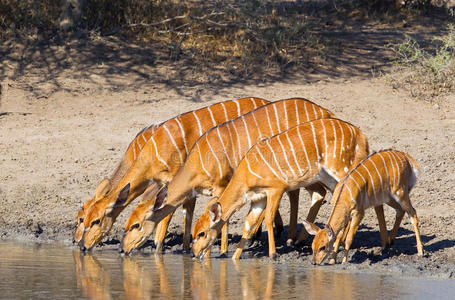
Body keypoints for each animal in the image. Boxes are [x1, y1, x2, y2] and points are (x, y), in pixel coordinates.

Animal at [80, 98, 270, 251]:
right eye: (84, 218)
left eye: (94, 220)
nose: (81, 245)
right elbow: (185, 212)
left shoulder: (172, 180)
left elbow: (168, 213)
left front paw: (158, 246)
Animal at [125, 98, 334, 255]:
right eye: (126, 225)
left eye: (136, 225)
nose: (123, 249)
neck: (200, 157)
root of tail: (326, 112)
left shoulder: (221, 186)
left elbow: (221, 219)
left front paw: (222, 252)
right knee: (314, 192)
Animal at [192, 119, 370, 260]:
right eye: (193, 233)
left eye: (202, 233)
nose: (195, 253)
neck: (247, 172)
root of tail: (361, 136)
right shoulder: (259, 199)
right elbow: (248, 224)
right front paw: (235, 257)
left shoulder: (276, 189)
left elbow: (269, 219)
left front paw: (273, 254)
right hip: (328, 177)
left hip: (342, 170)